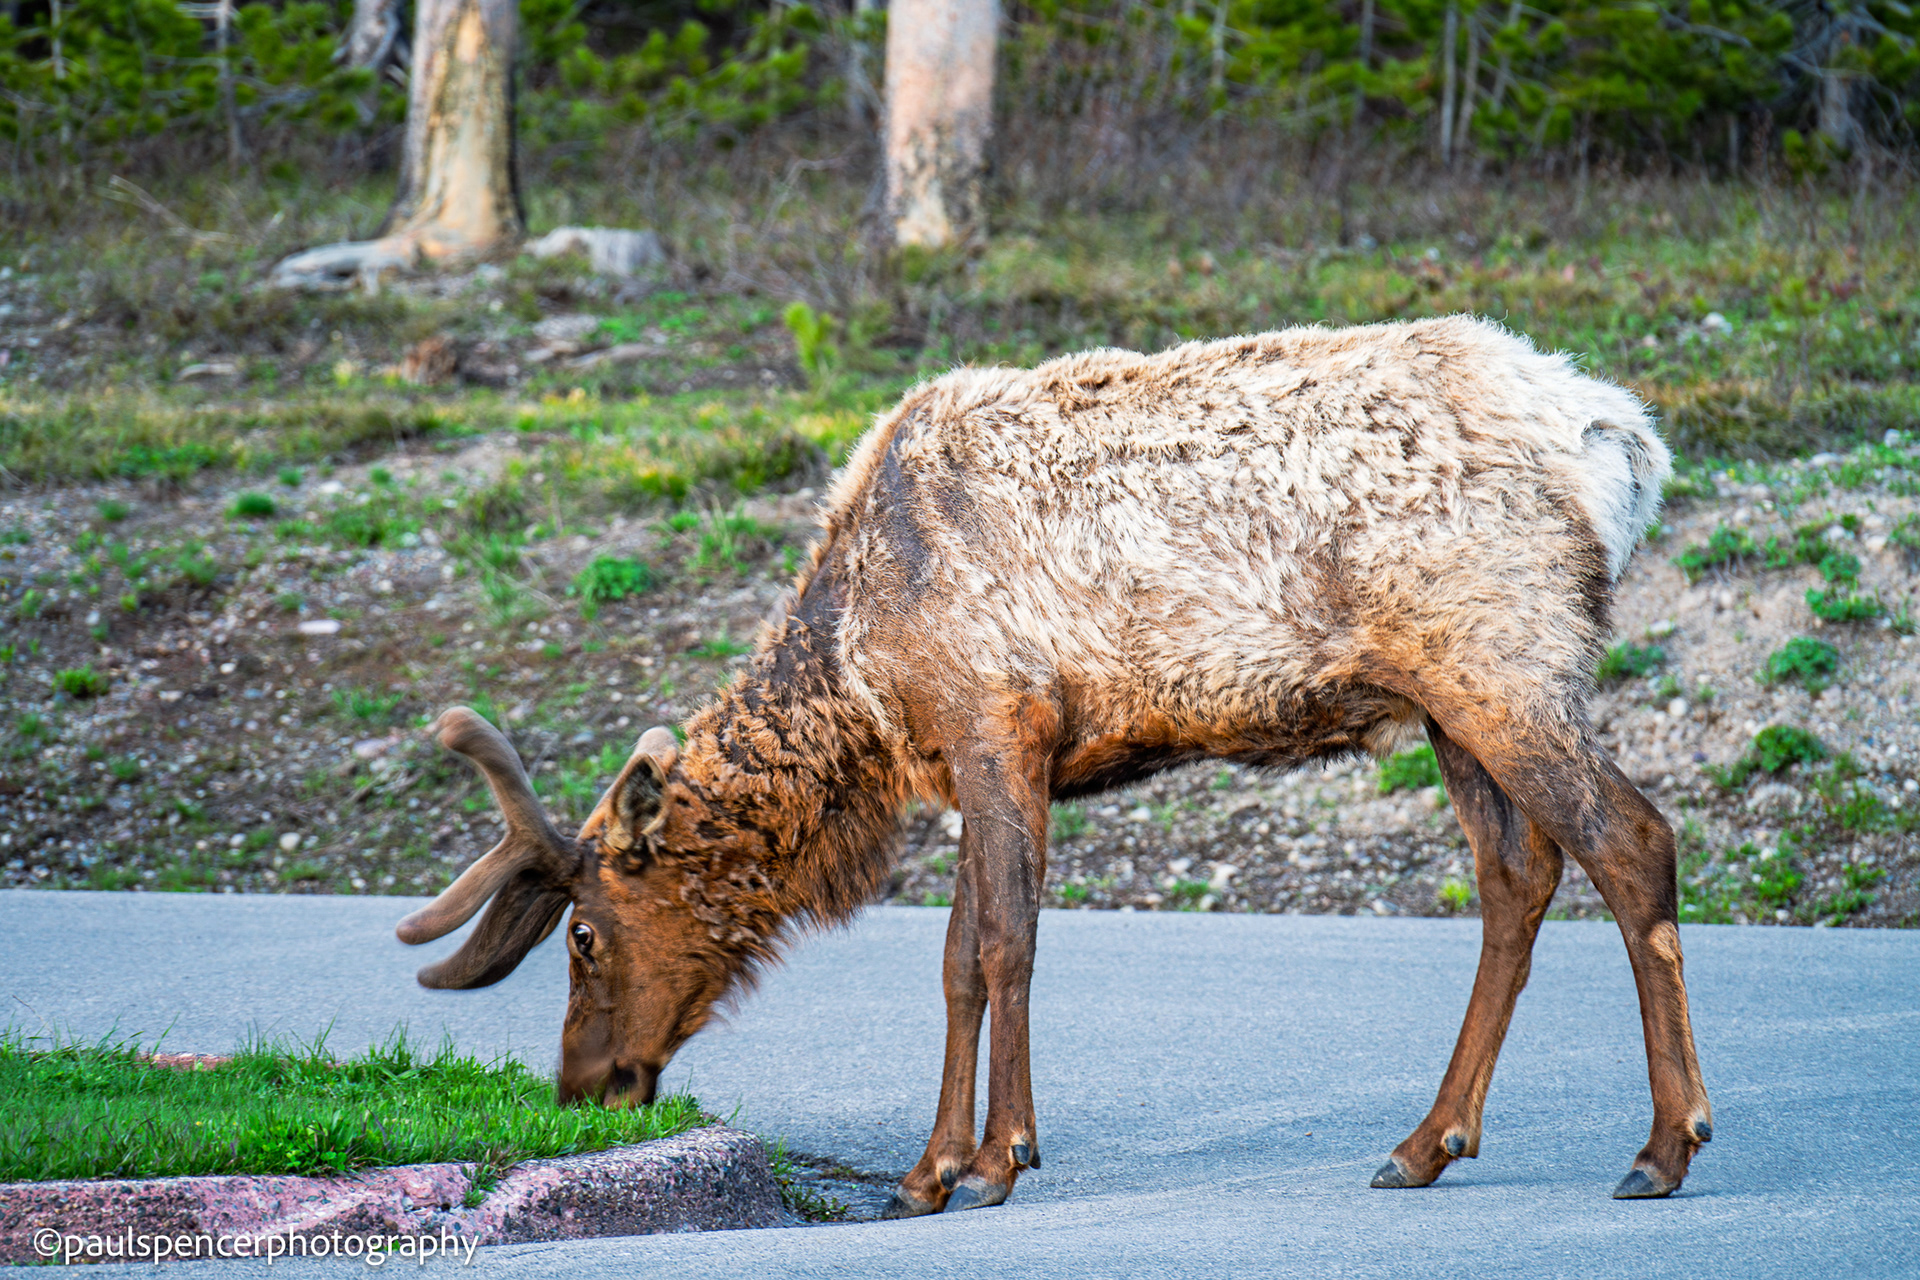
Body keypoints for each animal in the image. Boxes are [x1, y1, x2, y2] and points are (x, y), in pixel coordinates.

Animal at [395, 315, 1712, 1216]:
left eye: (584, 933)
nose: (581, 1086)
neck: (862, 678)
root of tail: (1624, 441)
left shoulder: (1000, 714)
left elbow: (1003, 942)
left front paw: (999, 1158)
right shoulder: (973, 749)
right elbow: (954, 959)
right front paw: (927, 1167)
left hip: (1499, 656)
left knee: (1632, 839)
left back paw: (1662, 1145)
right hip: (1449, 694)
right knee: (1516, 876)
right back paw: (1426, 1140)